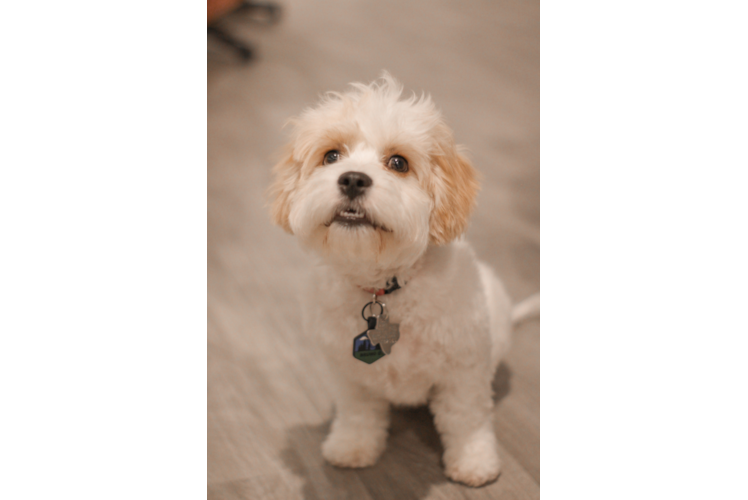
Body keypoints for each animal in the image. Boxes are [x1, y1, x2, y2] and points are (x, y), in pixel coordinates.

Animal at [268, 74, 536, 488]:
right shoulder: (349, 375)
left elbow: (466, 421)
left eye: (398, 162)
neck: (385, 287)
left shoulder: (463, 372)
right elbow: (358, 413)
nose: (352, 179)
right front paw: (351, 446)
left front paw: (474, 461)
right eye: (331, 156)